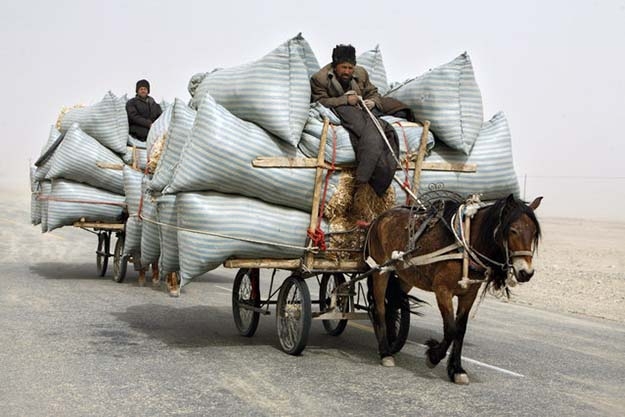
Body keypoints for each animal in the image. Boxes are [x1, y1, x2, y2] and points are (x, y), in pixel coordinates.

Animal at [366, 193, 540, 382]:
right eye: (513, 230)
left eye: (534, 233)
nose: (526, 272)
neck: (464, 245)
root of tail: (379, 218)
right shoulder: (442, 290)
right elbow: (450, 329)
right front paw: (433, 356)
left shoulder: (469, 294)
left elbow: (460, 330)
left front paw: (457, 369)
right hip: (380, 271)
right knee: (380, 309)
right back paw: (385, 352)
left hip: (405, 276)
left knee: (392, 305)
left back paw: (391, 343)